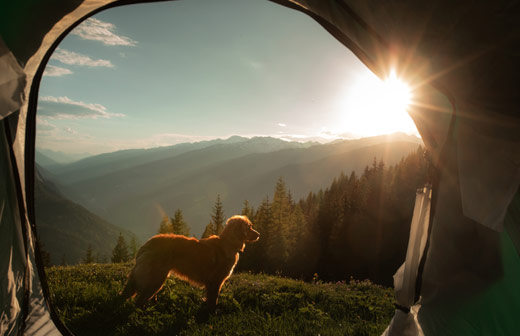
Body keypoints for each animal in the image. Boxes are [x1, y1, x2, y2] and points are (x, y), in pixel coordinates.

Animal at [121, 214, 260, 312]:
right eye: (250, 227)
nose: (259, 234)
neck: (228, 243)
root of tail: (146, 245)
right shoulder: (215, 282)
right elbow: (213, 301)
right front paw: (211, 313)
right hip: (156, 279)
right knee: (139, 301)